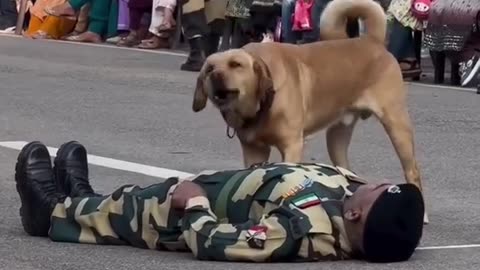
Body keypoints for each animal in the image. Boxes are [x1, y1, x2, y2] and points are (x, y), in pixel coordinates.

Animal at [191, 0, 428, 221]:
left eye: (236, 64)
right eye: (209, 68)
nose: (215, 76)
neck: (264, 100)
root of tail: (372, 41)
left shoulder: (292, 145)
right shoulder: (253, 150)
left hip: (397, 125)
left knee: (412, 170)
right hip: (337, 137)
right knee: (346, 168)